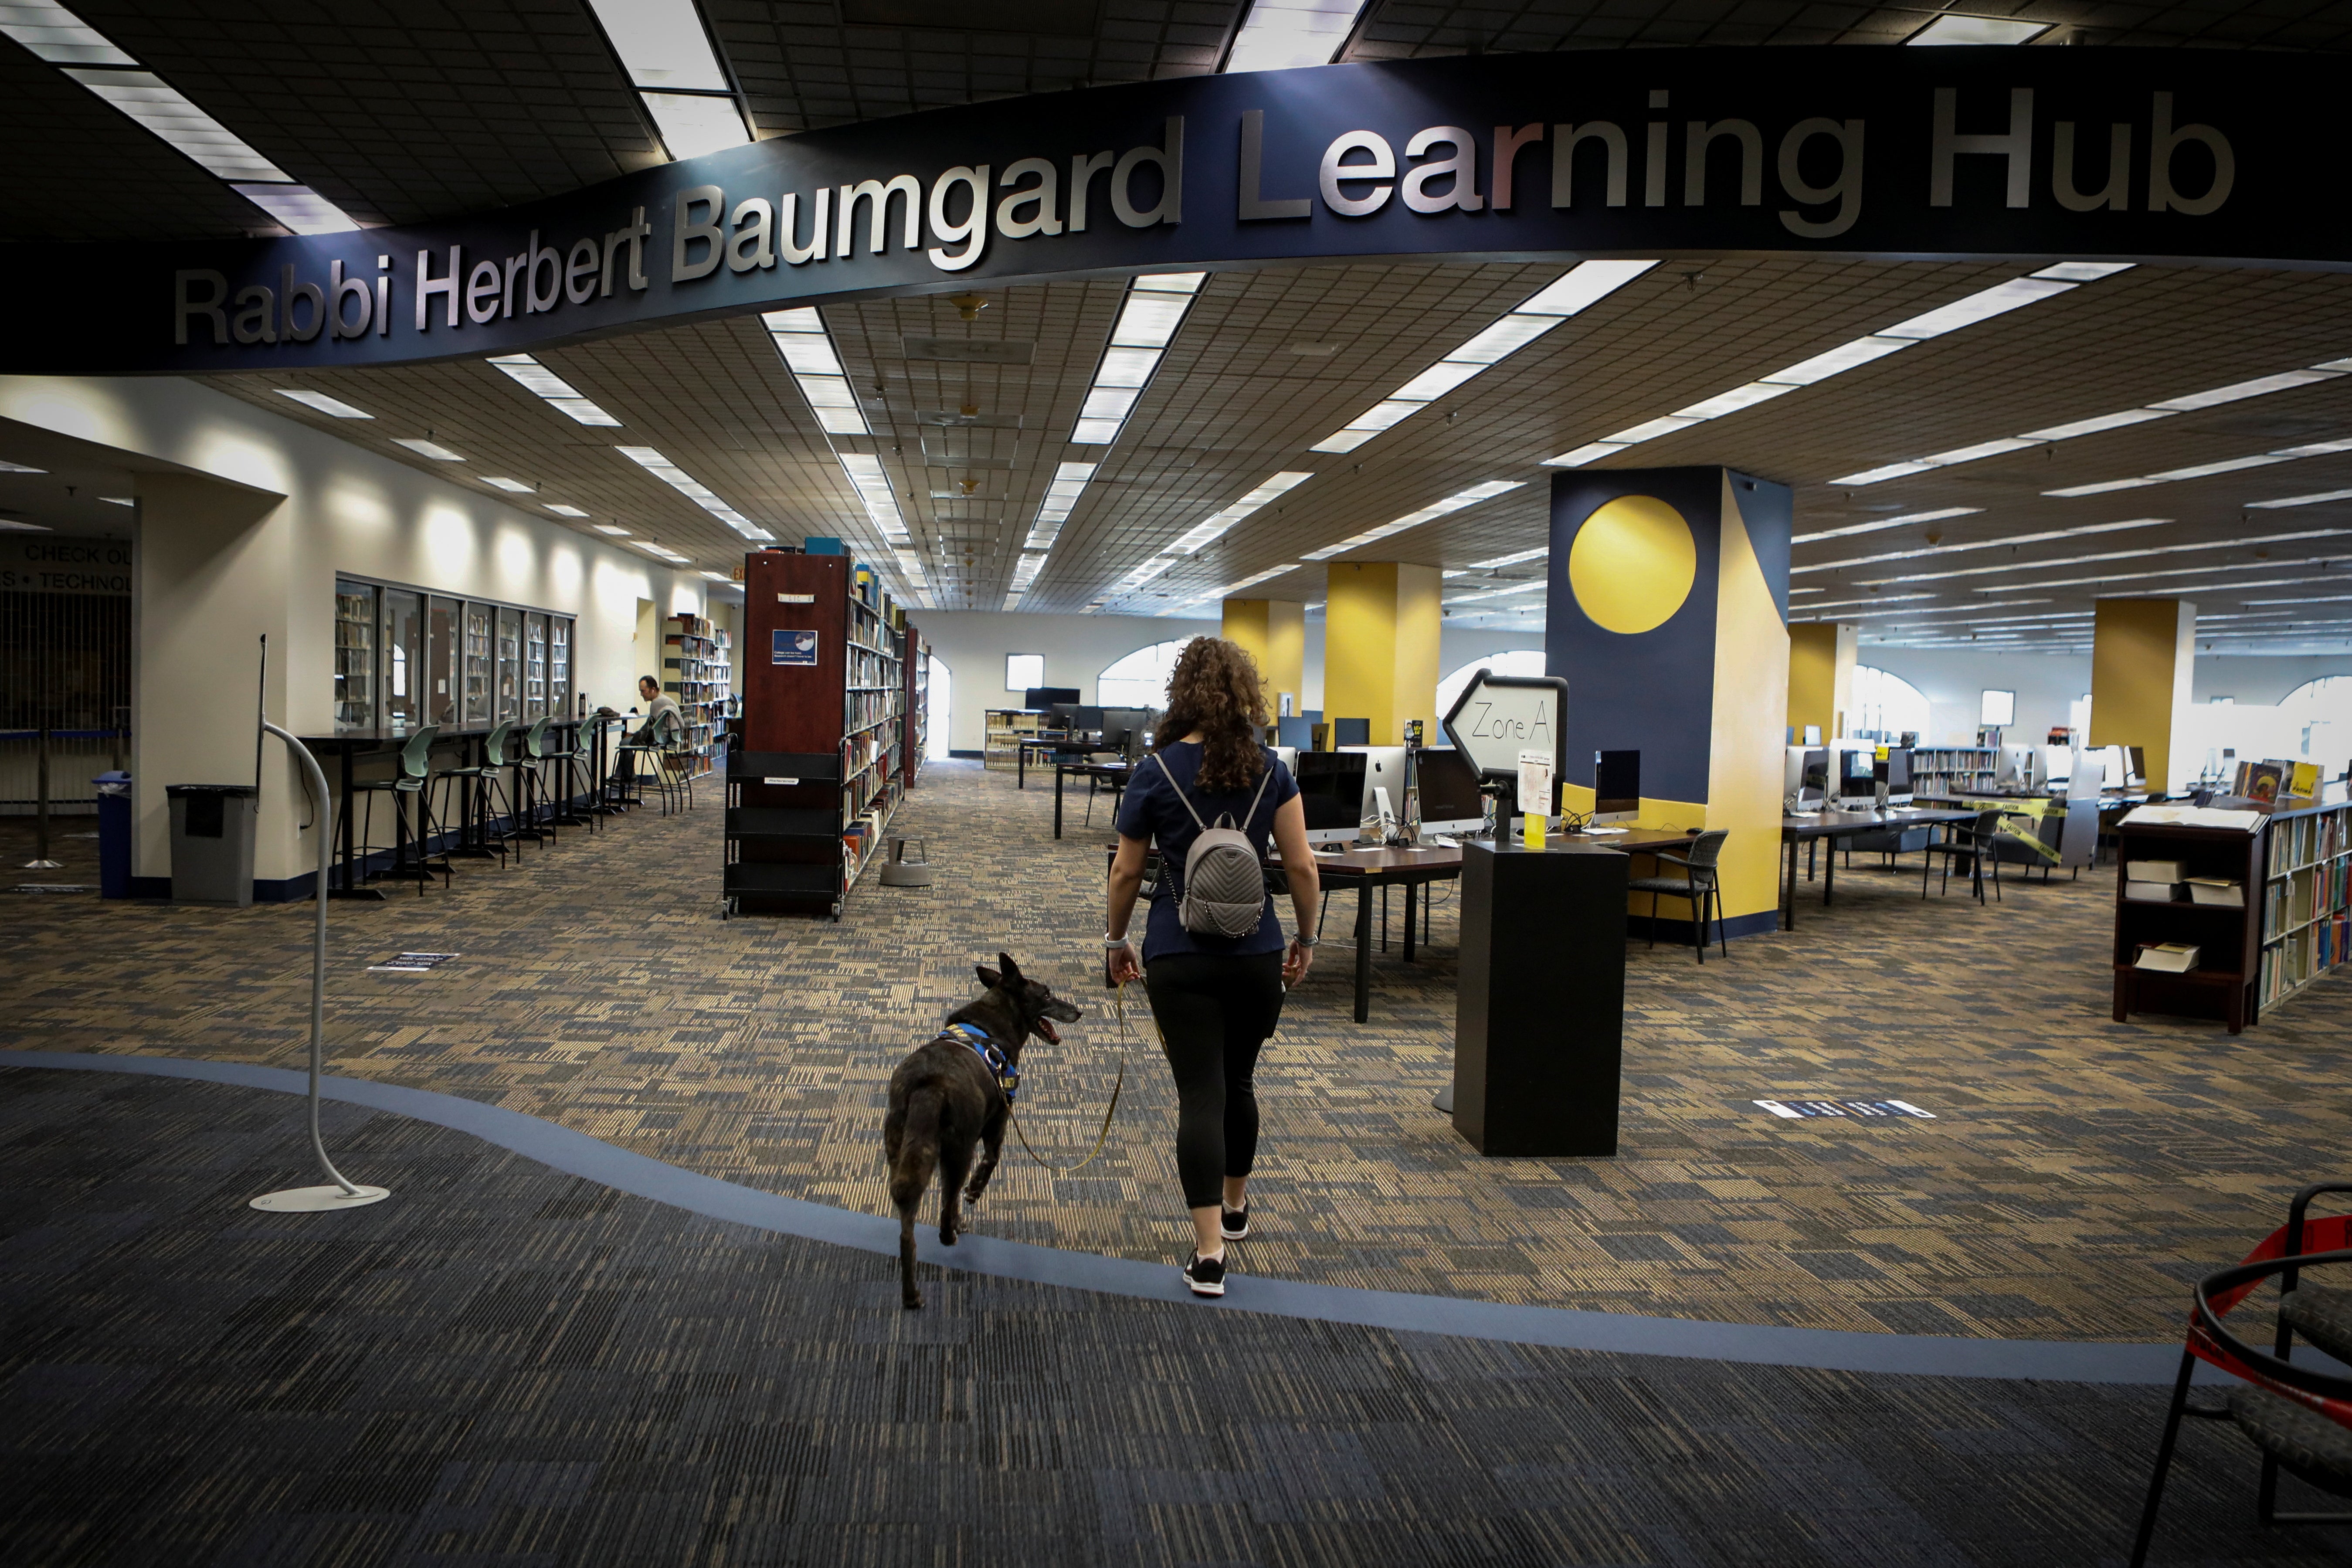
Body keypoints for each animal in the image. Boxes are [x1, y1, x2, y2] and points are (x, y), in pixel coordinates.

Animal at [884, 959, 1082, 1316]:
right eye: (1047, 993)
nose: (1078, 1011)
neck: (990, 1024)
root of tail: (929, 1085)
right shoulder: (1000, 1117)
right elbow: (993, 1159)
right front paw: (975, 1191)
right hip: (958, 1151)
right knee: (946, 1209)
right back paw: (953, 1231)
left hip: (905, 1155)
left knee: (909, 1232)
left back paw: (911, 1295)